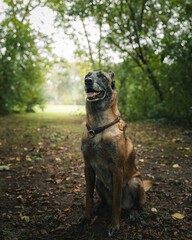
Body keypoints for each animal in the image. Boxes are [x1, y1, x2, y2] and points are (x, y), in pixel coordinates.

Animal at [79, 71, 150, 236]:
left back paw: (133, 213)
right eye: (88, 75)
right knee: (105, 201)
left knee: (136, 205)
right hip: (99, 181)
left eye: (102, 76)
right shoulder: (88, 167)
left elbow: (116, 204)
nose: (88, 81)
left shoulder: (117, 170)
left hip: (135, 182)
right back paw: (100, 207)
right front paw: (87, 216)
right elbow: (88, 197)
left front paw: (114, 225)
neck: (98, 127)